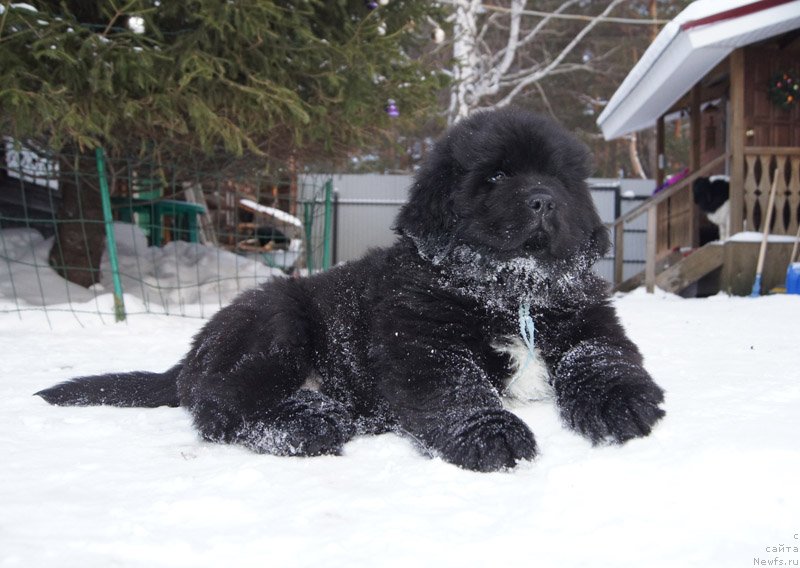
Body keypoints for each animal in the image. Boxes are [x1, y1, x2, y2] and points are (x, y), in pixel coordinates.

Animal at [36, 106, 664, 470]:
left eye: (559, 178)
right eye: (496, 175)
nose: (544, 201)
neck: (511, 288)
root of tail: (189, 357)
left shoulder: (590, 319)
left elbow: (602, 356)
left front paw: (624, 403)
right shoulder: (422, 342)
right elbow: (459, 388)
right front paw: (493, 434)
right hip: (276, 319)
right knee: (220, 406)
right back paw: (308, 424)